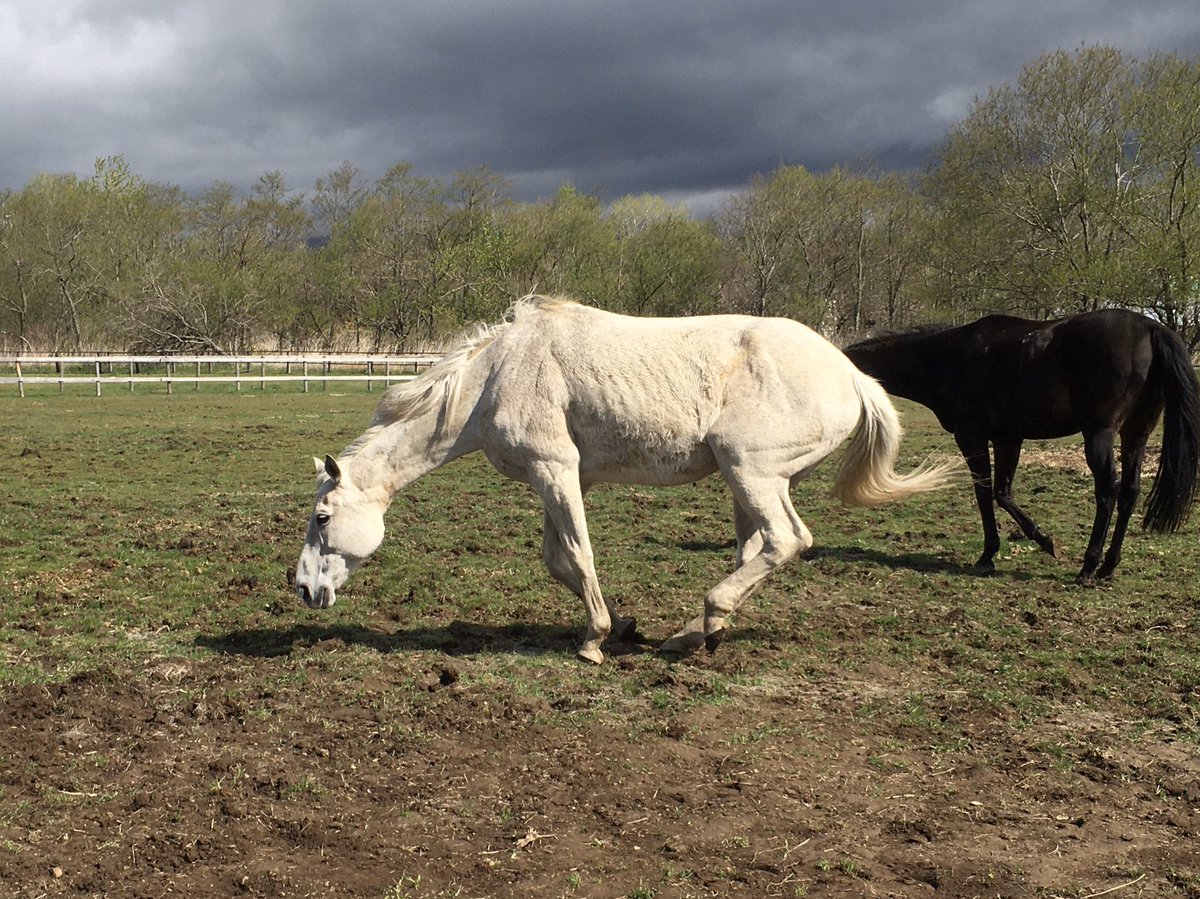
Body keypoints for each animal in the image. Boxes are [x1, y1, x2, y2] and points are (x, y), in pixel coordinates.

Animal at [292, 297, 955, 662]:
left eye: (323, 519)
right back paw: (697, 634)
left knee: (787, 541)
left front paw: (595, 640)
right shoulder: (561, 478)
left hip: (753, 473)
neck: (495, 378)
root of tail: (852, 375)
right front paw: (623, 626)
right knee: (757, 548)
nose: (303, 589)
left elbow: (580, 556)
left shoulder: (556, 471)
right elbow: (557, 559)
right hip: (748, 483)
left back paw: (706, 618)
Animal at [844, 309, 1200, 583]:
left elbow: (984, 493)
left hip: (1099, 434)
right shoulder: (1008, 439)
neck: (947, 359)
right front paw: (1045, 541)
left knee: (1108, 490)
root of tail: (1151, 328)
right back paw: (1108, 567)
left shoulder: (971, 437)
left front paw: (988, 554)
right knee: (1129, 492)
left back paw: (1089, 566)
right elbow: (1003, 493)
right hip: (1136, 434)